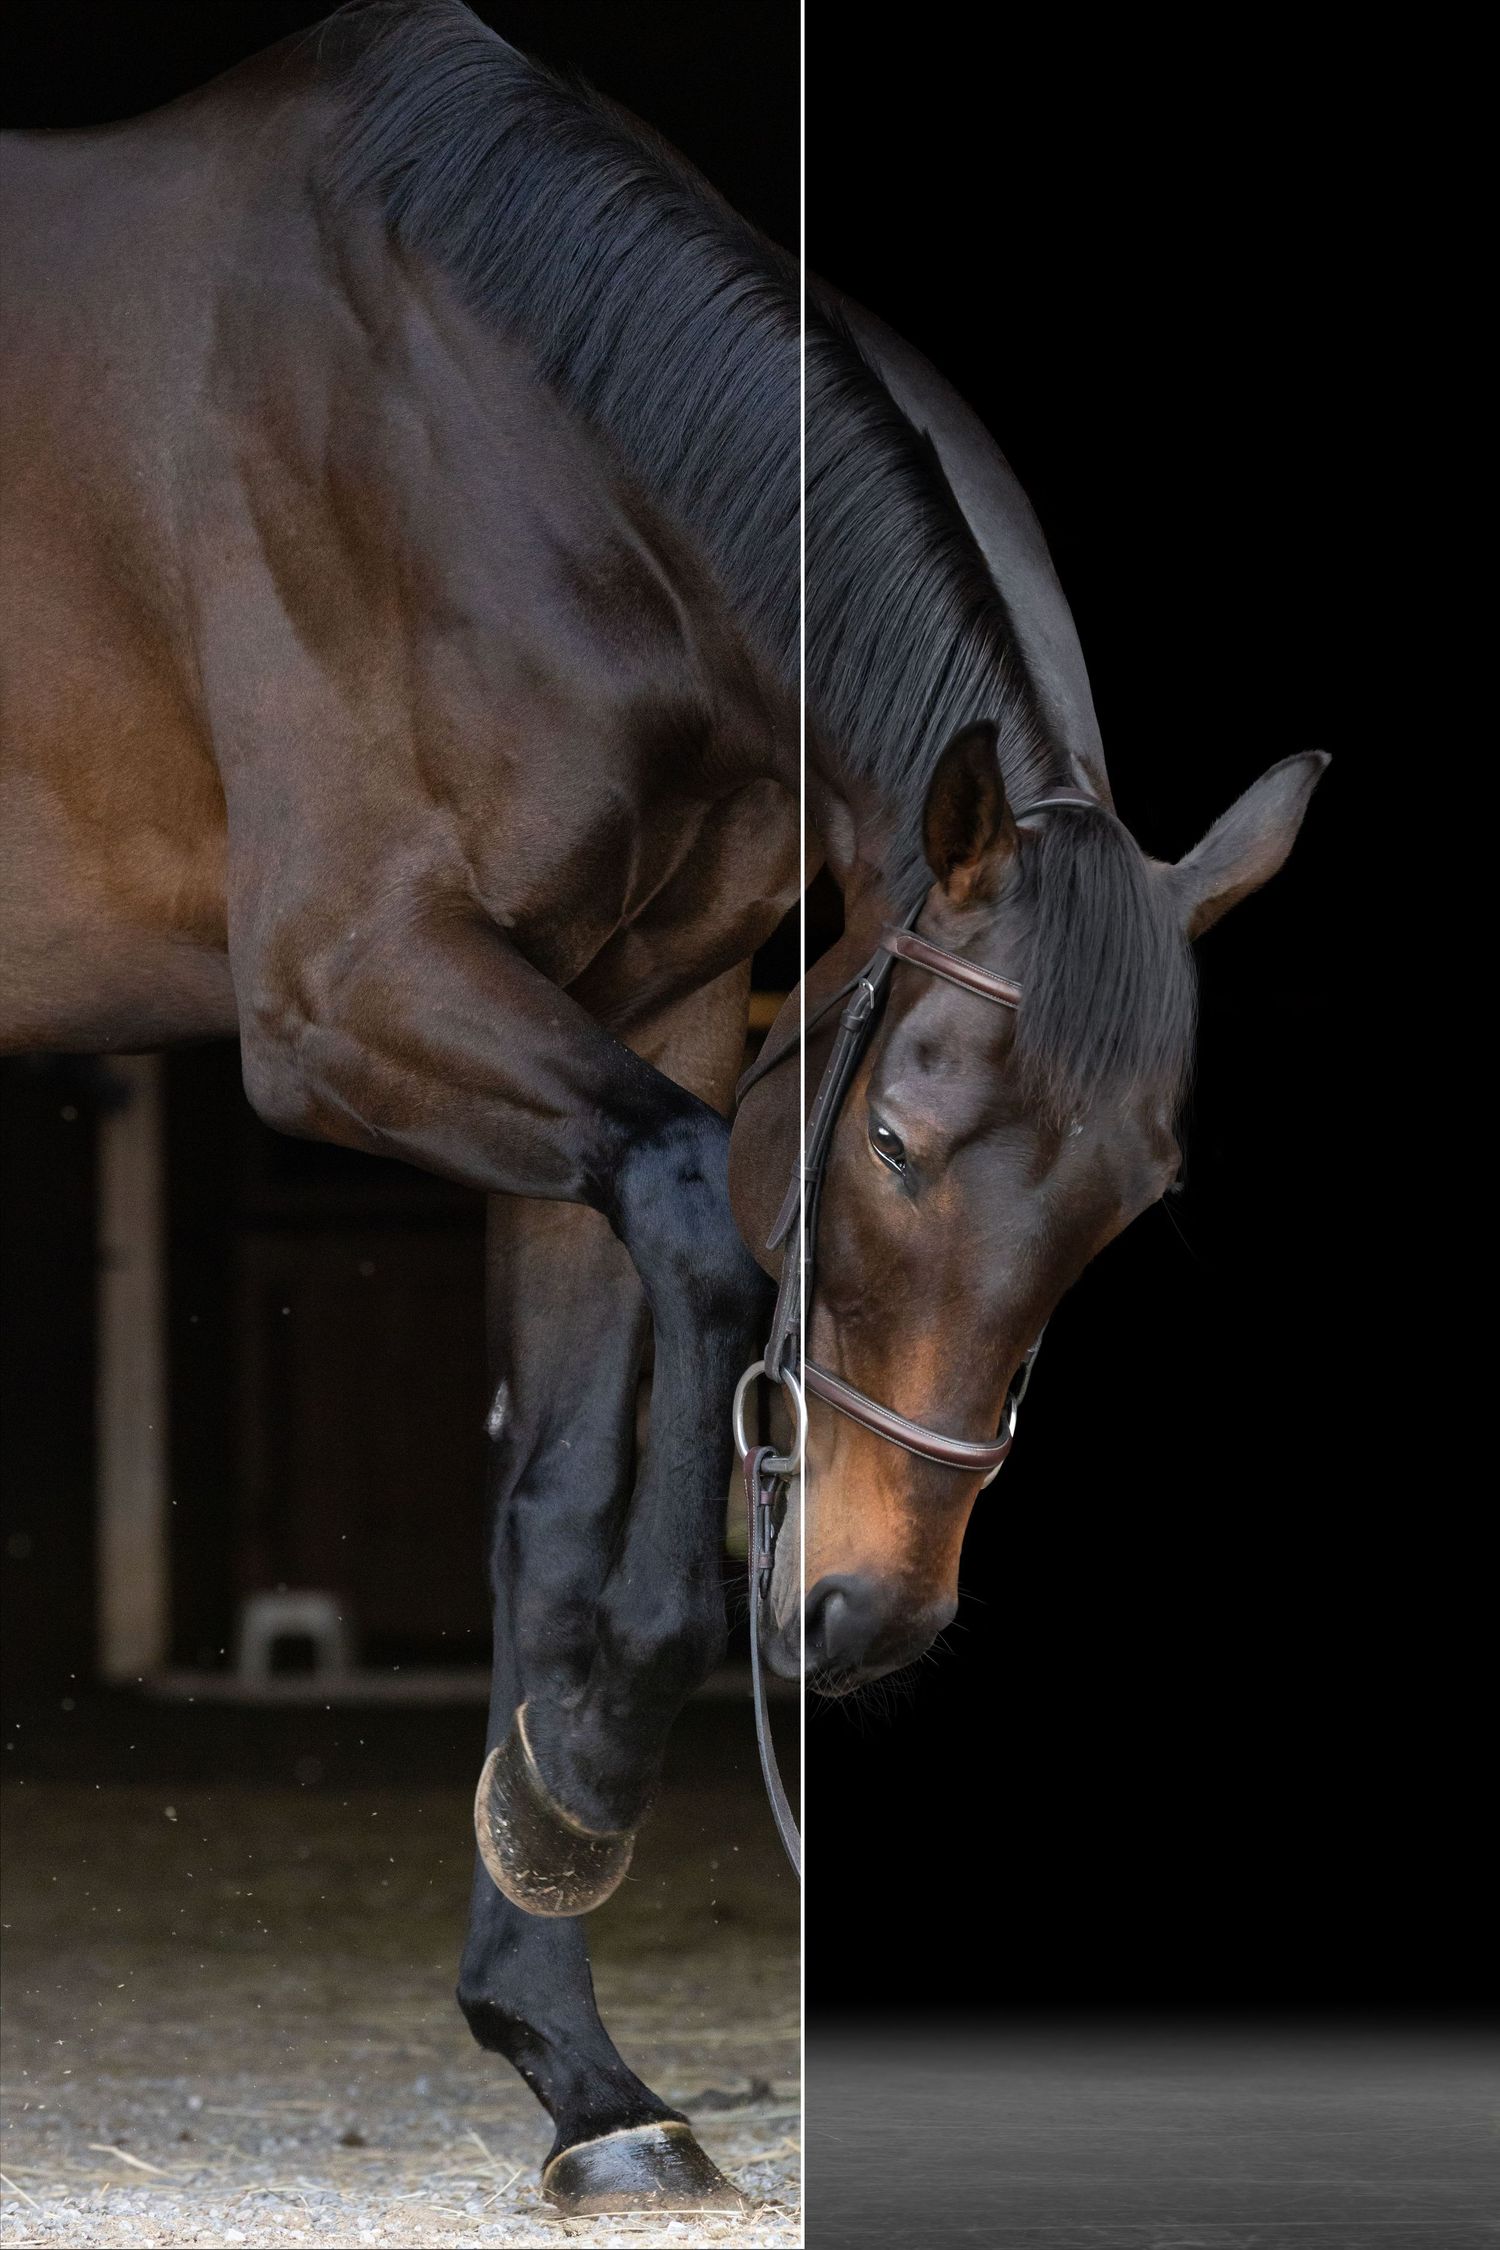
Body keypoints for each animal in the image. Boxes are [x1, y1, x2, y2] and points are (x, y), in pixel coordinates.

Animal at [1, 0, 803, 2215]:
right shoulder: (355, 996)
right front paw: (591, 1768)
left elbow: (557, 1487)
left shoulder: (644, 1010)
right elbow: (703, 1224)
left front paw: (581, 2055)